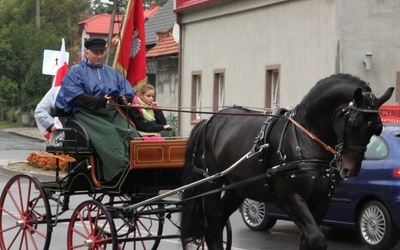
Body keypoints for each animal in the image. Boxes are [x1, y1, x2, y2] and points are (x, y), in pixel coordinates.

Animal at [181, 73, 394, 249]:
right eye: (355, 123)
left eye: (377, 128)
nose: (351, 169)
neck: (306, 138)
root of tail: (208, 121)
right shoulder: (291, 199)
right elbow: (317, 239)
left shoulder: (321, 202)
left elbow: (308, 240)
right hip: (211, 184)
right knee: (211, 227)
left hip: (237, 189)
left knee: (218, 223)